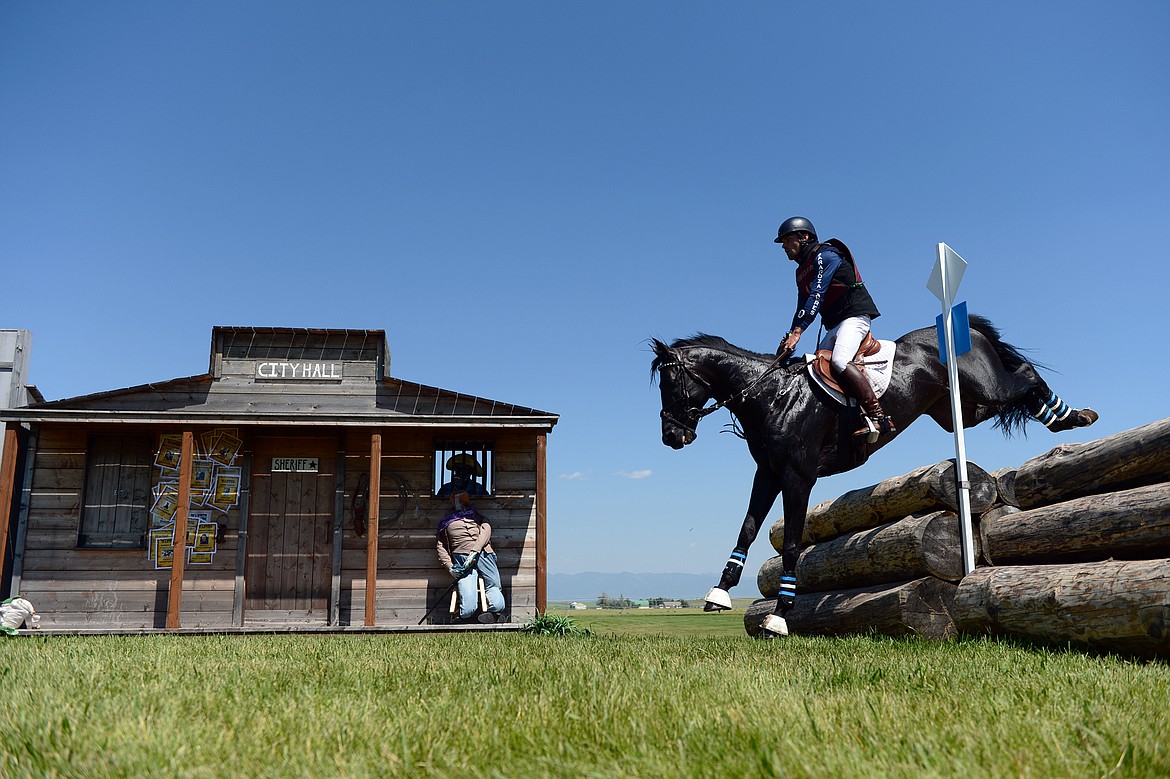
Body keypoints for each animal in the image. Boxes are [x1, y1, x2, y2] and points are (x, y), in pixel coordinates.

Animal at [650, 315, 1095, 636]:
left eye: (672, 383)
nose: (672, 437)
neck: (774, 396)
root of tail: (962, 325)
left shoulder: (797, 476)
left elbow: (792, 542)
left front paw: (779, 615)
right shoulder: (768, 473)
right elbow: (746, 529)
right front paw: (719, 594)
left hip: (985, 387)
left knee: (1025, 375)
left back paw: (1072, 416)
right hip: (962, 409)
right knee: (1013, 394)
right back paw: (1060, 418)